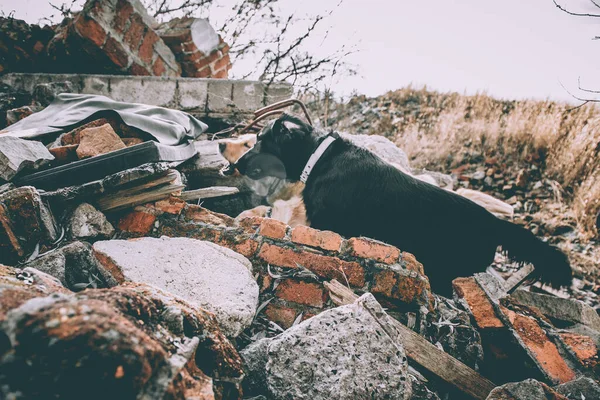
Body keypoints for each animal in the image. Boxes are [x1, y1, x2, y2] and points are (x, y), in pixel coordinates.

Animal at [230, 114, 572, 296]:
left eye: (258, 140)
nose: (235, 164)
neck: (321, 157)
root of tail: (495, 223)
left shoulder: (329, 225)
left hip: (443, 267)